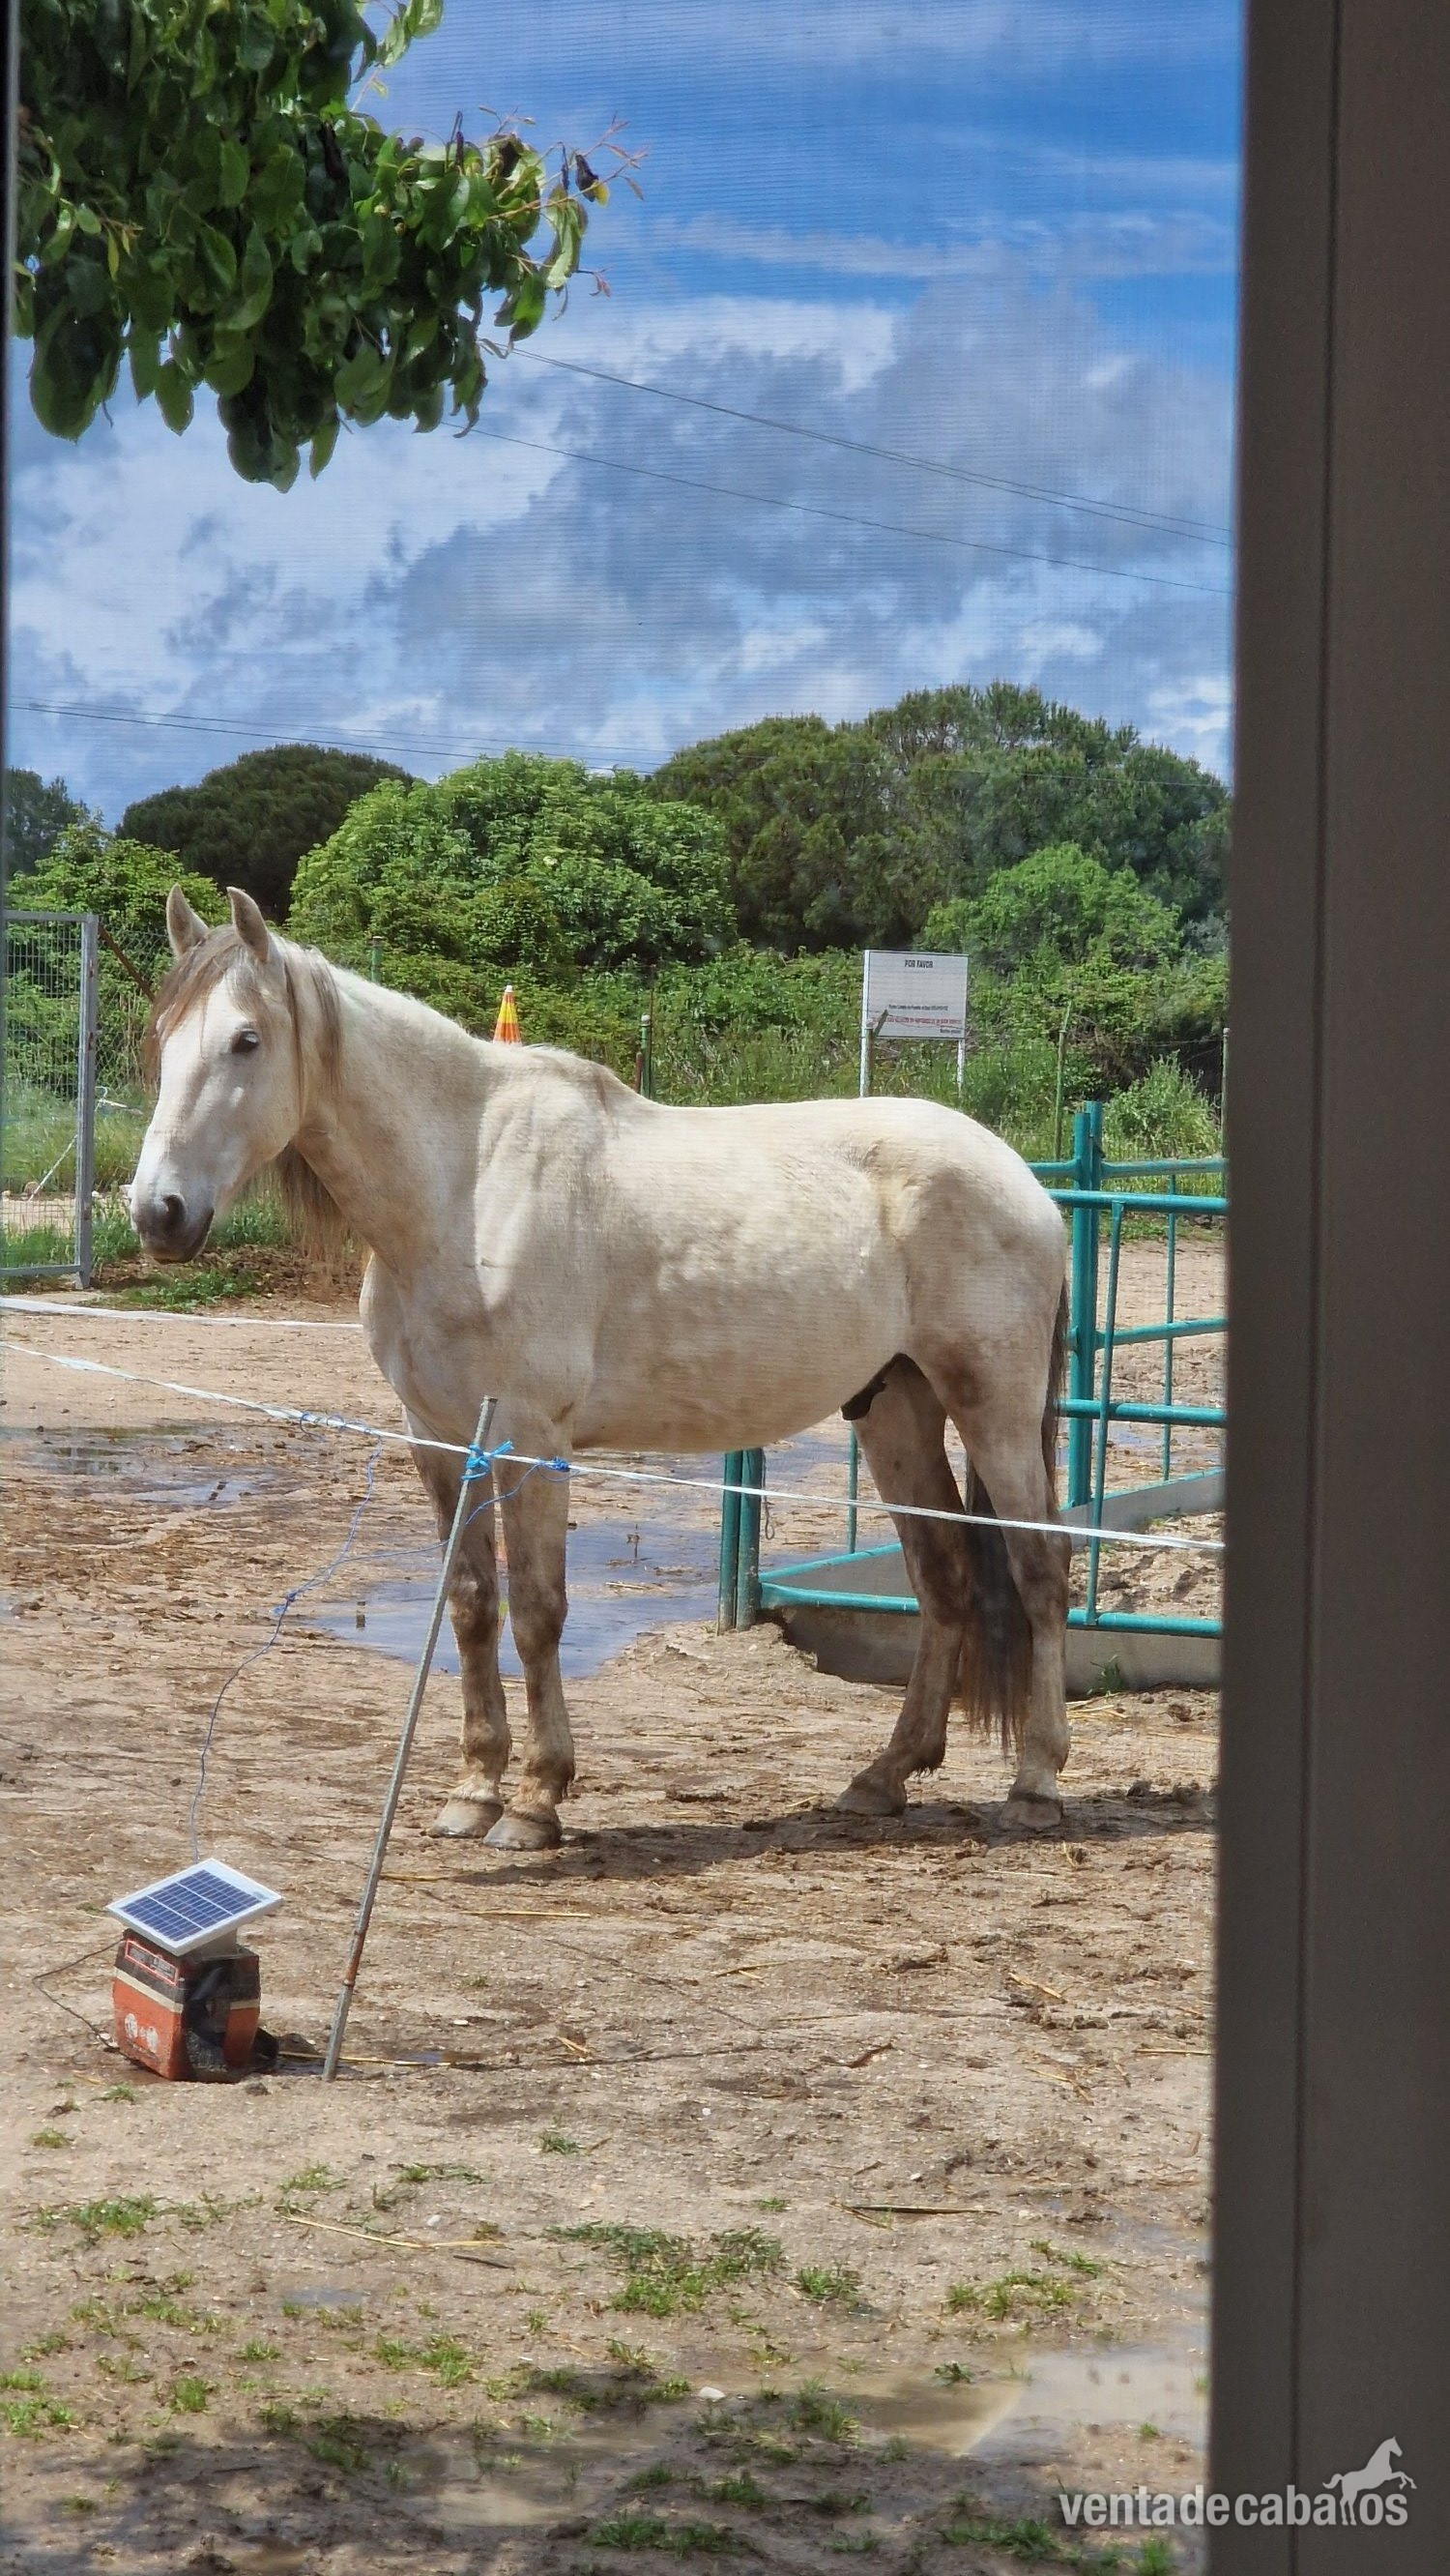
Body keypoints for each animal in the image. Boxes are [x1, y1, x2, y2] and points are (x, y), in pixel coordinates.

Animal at [131, 885, 1072, 1853]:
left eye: (246, 1040)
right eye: (163, 1035)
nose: (157, 1212)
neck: (466, 1188)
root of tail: (1021, 1180)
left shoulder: (531, 1440)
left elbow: (540, 1610)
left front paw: (537, 1799)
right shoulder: (438, 1437)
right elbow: (471, 1603)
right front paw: (474, 1789)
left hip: (992, 1407)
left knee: (1041, 1567)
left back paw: (1036, 1782)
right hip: (893, 1407)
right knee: (944, 1575)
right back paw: (885, 1775)